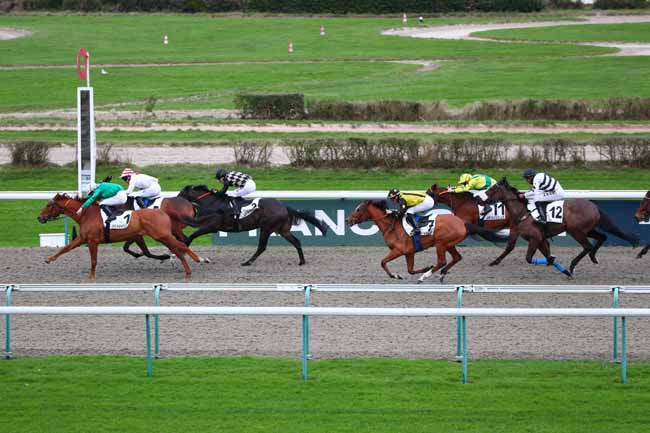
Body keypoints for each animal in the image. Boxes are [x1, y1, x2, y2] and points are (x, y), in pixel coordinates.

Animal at [36, 192, 208, 278]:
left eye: (48, 205)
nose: (39, 218)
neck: (86, 214)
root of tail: (162, 211)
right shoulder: (83, 238)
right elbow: (66, 248)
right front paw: (49, 259)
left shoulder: (92, 241)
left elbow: (93, 261)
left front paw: (91, 277)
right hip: (162, 235)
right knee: (179, 247)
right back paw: (186, 267)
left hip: (162, 235)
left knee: (181, 245)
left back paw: (199, 260)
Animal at [177, 184, 330, 264]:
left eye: (181, 193)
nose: (175, 199)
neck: (213, 204)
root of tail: (284, 206)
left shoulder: (212, 226)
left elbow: (192, 236)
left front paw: (183, 247)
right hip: (282, 230)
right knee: (296, 241)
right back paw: (302, 261)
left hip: (266, 228)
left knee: (262, 247)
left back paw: (247, 262)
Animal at [344, 200, 502, 284]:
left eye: (358, 209)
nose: (347, 220)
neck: (392, 226)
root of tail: (462, 222)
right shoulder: (409, 252)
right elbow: (410, 269)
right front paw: (425, 267)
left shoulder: (399, 250)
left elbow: (383, 262)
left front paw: (396, 275)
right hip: (449, 244)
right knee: (457, 258)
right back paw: (441, 274)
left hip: (440, 243)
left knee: (442, 261)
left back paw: (425, 276)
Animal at [480, 179, 636, 276]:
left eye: (492, 188)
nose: (480, 199)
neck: (523, 212)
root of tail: (593, 205)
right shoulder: (539, 239)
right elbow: (543, 254)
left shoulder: (535, 237)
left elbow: (530, 258)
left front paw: (558, 265)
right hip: (588, 230)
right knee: (602, 237)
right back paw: (592, 258)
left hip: (576, 231)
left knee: (587, 246)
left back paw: (573, 265)